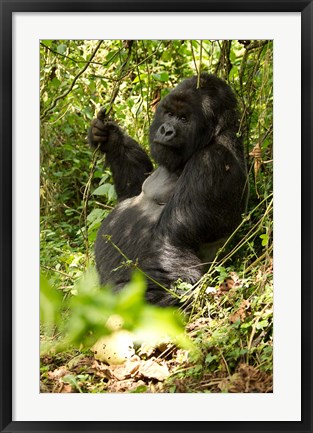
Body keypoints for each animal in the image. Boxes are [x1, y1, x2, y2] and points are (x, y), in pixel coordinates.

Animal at [87, 72, 246, 306]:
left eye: (184, 119)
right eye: (169, 113)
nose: (166, 130)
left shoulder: (211, 162)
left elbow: (171, 241)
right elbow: (133, 188)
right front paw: (109, 137)